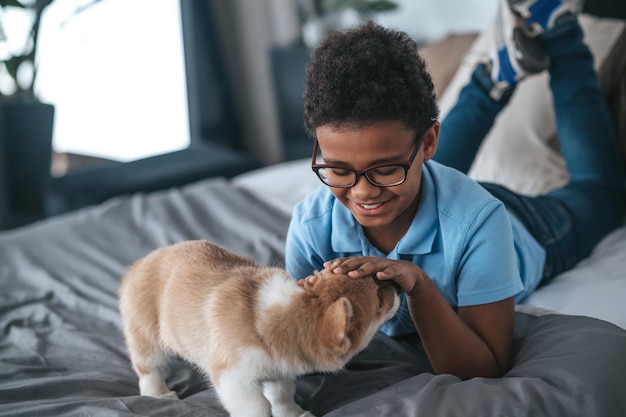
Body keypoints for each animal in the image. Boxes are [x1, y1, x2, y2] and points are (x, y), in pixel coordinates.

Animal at [119, 239, 398, 416]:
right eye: (379, 300)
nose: (395, 284)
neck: (289, 314)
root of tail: (142, 261)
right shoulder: (234, 379)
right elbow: (257, 406)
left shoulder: (278, 370)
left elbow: (282, 395)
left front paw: (294, 414)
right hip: (147, 336)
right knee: (149, 368)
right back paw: (160, 395)